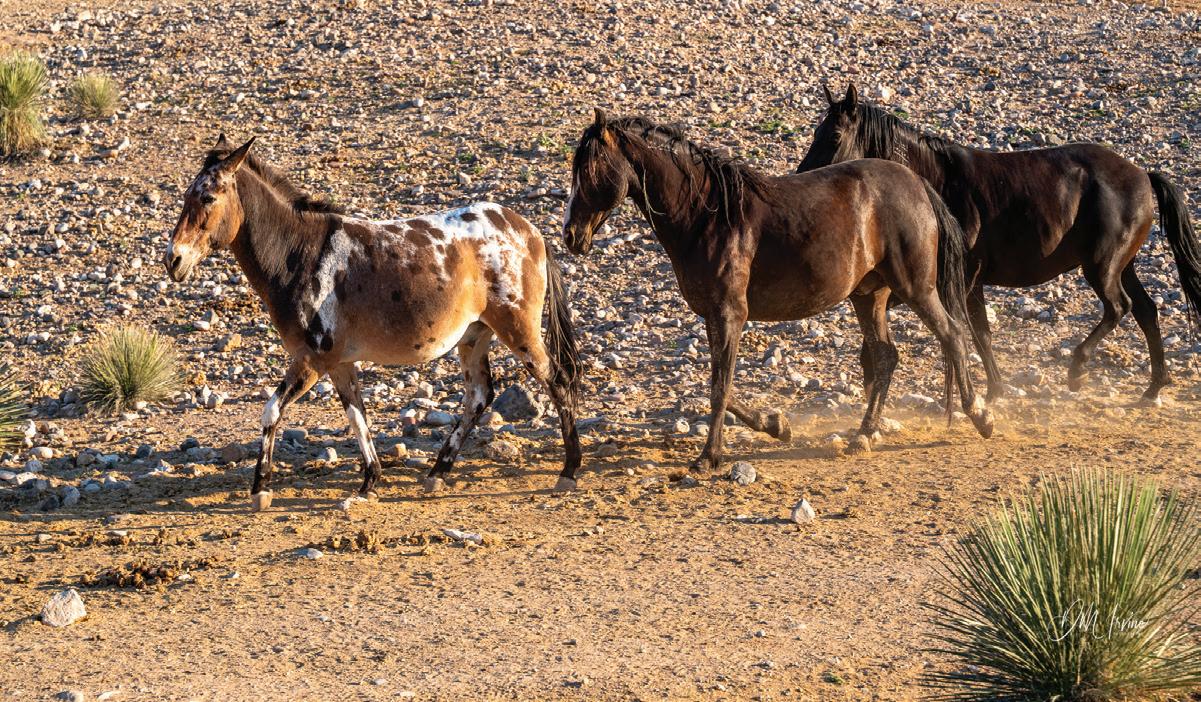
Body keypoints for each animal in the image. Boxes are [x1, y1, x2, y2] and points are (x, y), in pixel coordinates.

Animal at [165, 135, 583, 510]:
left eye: (207, 197)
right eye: (187, 195)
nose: (173, 259)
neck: (300, 254)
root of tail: (529, 231)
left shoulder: (311, 362)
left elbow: (271, 412)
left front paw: (260, 489)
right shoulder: (339, 364)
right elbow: (357, 417)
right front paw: (369, 483)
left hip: (518, 330)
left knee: (558, 381)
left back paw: (569, 470)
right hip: (474, 337)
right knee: (478, 396)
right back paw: (437, 473)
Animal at [562, 109, 993, 471]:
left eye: (590, 168)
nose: (570, 236)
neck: (708, 216)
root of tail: (918, 184)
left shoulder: (730, 314)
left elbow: (720, 387)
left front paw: (709, 457)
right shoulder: (714, 316)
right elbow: (723, 385)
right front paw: (776, 424)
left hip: (916, 288)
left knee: (953, 336)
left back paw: (981, 416)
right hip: (869, 296)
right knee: (887, 356)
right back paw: (863, 435)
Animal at [796, 84, 1201, 403]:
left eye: (833, 137)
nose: (802, 179)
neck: (937, 182)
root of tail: (1142, 175)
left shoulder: (956, 279)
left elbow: (972, 333)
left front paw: (988, 394)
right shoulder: (959, 283)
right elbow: (980, 334)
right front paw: (993, 390)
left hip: (1102, 267)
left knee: (1120, 308)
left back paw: (1078, 370)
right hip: (1122, 265)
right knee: (1146, 311)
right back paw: (1153, 387)